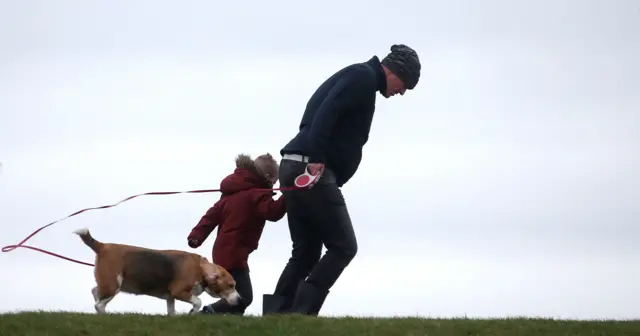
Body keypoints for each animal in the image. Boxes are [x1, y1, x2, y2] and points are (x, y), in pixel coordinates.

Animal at [74, 228, 240, 316]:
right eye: (231, 285)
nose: (240, 300)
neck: (199, 268)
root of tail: (103, 246)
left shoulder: (170, 298)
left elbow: (171, 311)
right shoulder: (179, 291)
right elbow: (198, 301)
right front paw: (192, 311)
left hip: (108, 284)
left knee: (95, 292)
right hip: (113, 285)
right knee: (98, 304)